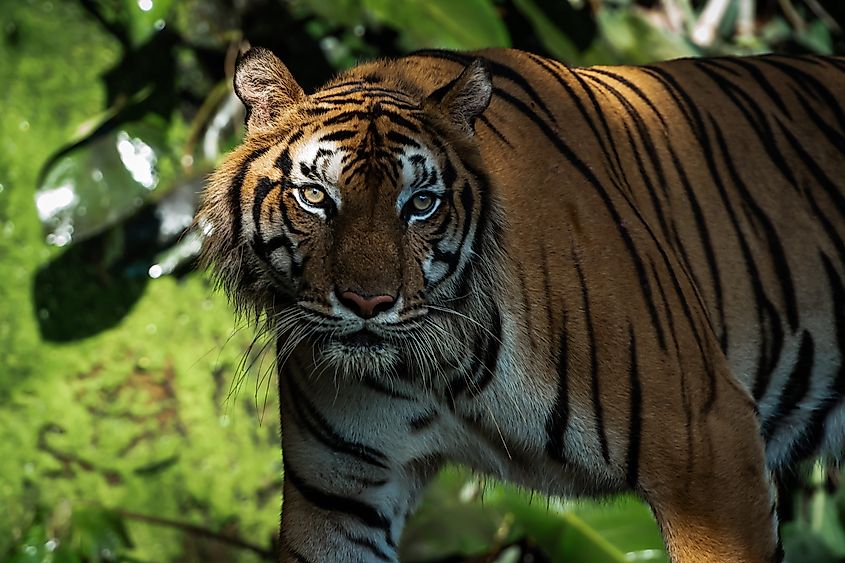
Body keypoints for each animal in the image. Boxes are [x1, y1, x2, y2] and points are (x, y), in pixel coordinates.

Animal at [196, 45, 845, 562]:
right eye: (314, 196)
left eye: (421, 204)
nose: (368, 301)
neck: (437, 369)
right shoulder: (338, 496)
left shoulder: (708, 450)